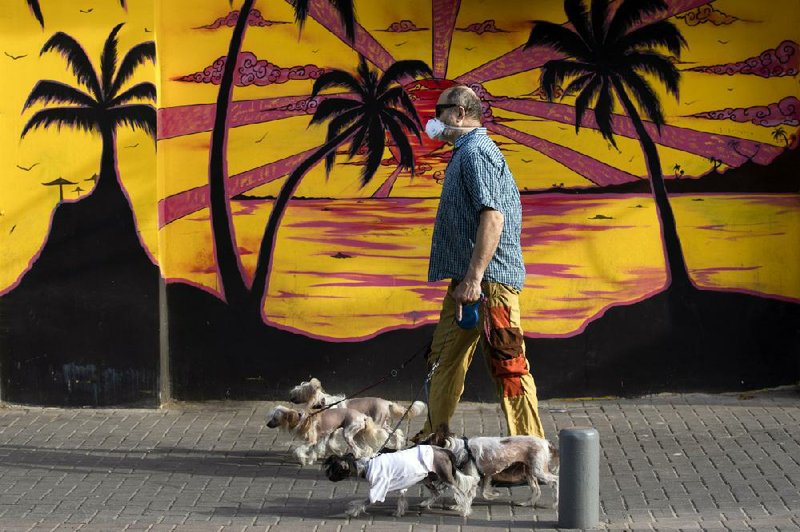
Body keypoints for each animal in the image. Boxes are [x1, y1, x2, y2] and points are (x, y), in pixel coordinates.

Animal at [266, 408, 404, 466]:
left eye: (275, 418)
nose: (267, 424)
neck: (301, 419)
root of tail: (363, 416)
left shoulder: (312, 440)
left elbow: (298, 450)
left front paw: (303, 460)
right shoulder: (318, 439)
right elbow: (315, 451)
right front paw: (310, 460)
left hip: (347, 434)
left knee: (357, 450)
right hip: (358, 435)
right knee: (366, 448)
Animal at [290, 378, 428, 428]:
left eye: (299, 391)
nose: (290, 398)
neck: (324, 403)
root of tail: (387, 402)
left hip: (378, 421)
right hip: (382, 422)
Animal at [324, 446, 478, 516]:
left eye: (333, 470)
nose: (328, 477)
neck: (366, 465)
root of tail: (443, 451)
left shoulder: (378, 489)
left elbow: (364, 502)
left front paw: (351, 511)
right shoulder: (401, 486)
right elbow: (401, 500)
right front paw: (400, 512)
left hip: (446, 478)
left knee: (462, 494)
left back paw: (464, 510)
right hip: (427, 478)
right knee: (436, 493)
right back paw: (426, 503)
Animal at [422, 424, 560, 508]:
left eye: (425, 443)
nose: (417, 445)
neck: (460, 449)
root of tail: (546, 442)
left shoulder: (474, 476)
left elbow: (468, 494)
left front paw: (459, 506)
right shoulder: (486, 475)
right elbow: (483, 491)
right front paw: (492, 495)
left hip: (538, 471)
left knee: (556, 481)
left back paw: (556, 502)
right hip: (529, 472)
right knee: (536, 489)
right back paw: (527, 503)